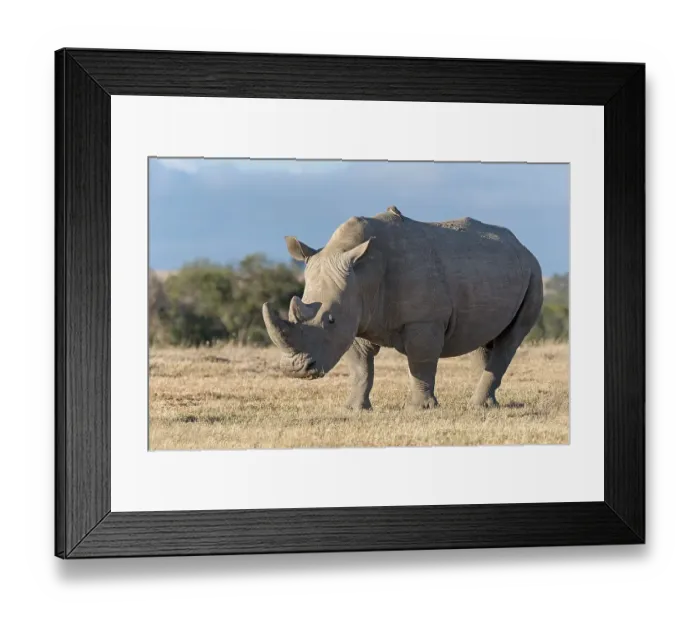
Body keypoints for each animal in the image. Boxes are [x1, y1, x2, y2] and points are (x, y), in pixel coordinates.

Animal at [262, 206, 543, 409]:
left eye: (329, 320)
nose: (296, 370)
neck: (364, 271)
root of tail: (523, 247)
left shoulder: (423, 320)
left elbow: (420, 363)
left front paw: (421, 409)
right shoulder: (355, 316)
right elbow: (360, 367)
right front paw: (354, 409)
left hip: (534, 272)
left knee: (510, 340)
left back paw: (478, 404)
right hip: (494, 270)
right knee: (482, 339)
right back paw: (487, 406)